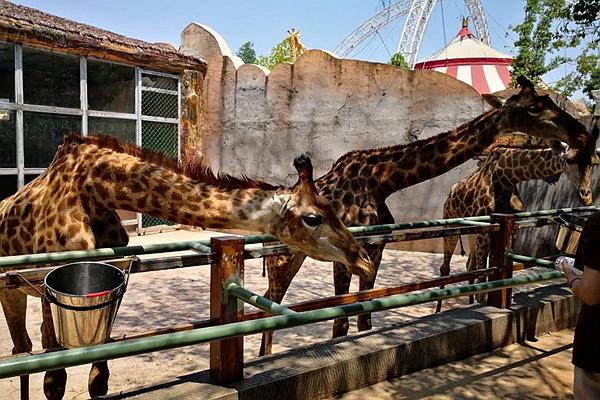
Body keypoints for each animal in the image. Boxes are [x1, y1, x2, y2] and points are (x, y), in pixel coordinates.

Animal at [1, 135, 376, 400]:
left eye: (334, 208)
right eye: (313, 218)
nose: (364, 259)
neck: (96, 190)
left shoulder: (113, 280)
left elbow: (98, 380)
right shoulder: (48, 283)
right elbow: (54, 379)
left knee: (28, 347)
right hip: (11, 288)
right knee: (23, 349)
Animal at [436, 122, 600, 312]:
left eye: (593, 163)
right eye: (569, 159)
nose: (586, 196)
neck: (507, 177)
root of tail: (450, 192)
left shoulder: (509, 227)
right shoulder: (487, 229)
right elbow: (483, 286)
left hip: (473, 232)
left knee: (470, 265)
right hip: (451, 223)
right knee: (445, 268)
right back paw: (438, 310)